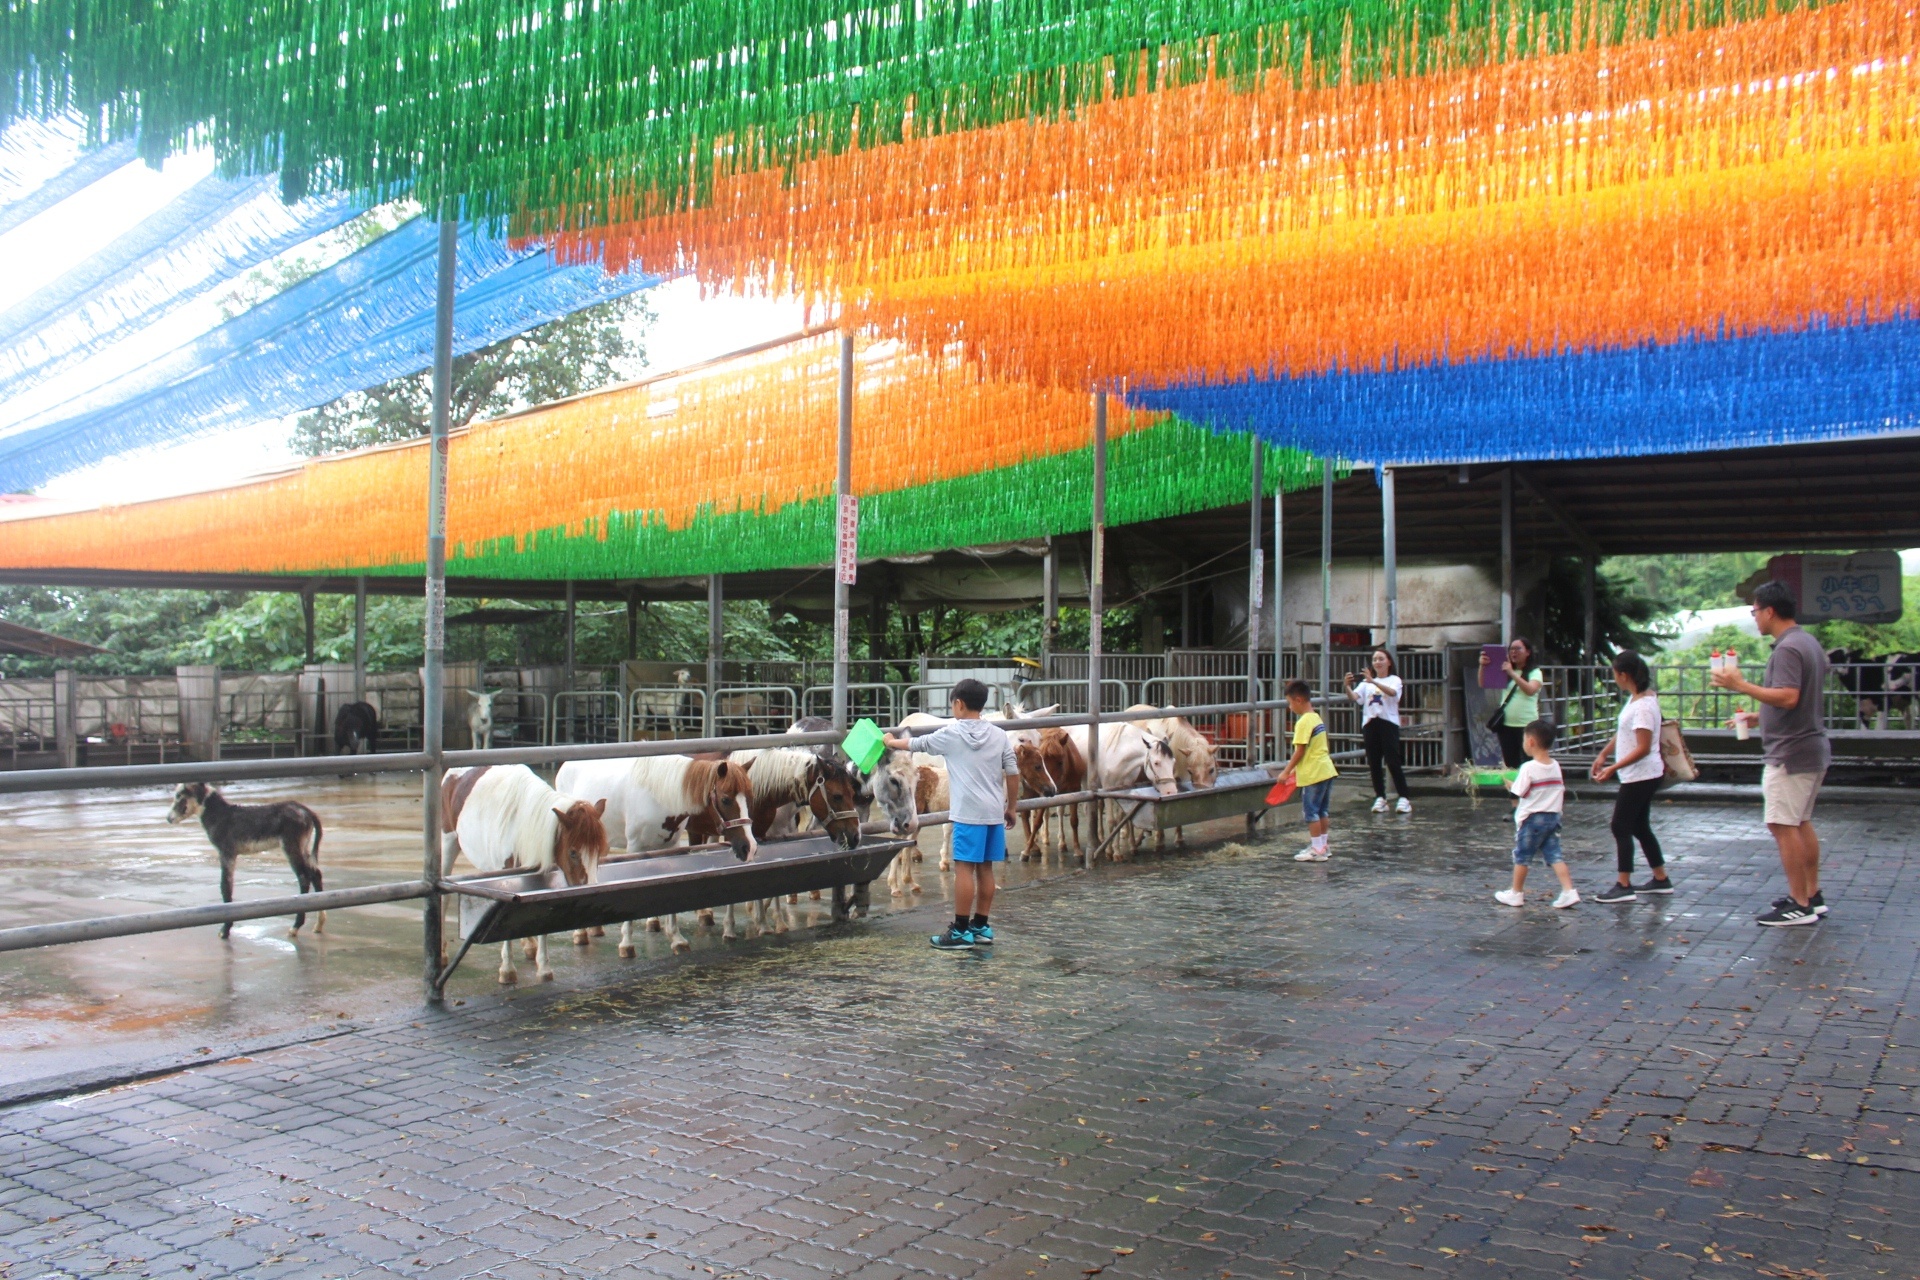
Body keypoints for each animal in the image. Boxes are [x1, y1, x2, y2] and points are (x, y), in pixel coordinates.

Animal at [168, 782, 330, 940]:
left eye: (179, 796)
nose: (169, 819)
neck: (220, 816)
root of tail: (306, 811)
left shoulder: (227, 853)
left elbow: (225, 886)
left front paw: (225, 931)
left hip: (291, 846)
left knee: (303, 877)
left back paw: (295, 927)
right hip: (304, 846)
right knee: (315, 874)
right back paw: (319, 924)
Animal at [439, 767, 606, 990]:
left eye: (599, 852)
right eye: (573, 852)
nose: (591, 890)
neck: (522, 826)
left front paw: (544, 969)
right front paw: (507, 971)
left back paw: (529, 945)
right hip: (448, 843)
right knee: (444, 897)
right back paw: (441, 953)